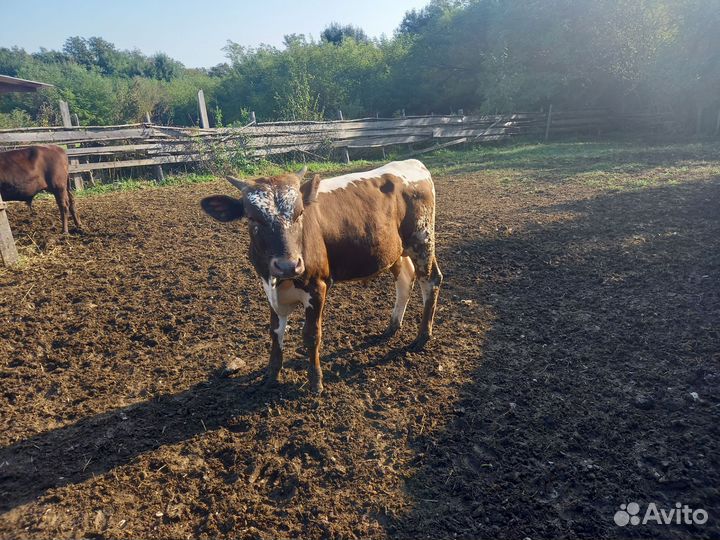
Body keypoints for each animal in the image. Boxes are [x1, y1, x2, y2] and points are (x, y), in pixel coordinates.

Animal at [201, 159, 442, 394]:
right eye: (253, 218)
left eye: (299, 213)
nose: (288, 265)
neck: (282, 282)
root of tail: (413, 163)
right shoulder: (268, 288)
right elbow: (275, 332)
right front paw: (271, 375)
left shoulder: (317, 287)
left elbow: (311, 335)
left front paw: (315, 381)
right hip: (395, 251)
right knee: (404, 281)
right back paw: (392, 326)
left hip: (422, 240)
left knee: (430, 280)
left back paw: (422, 336)